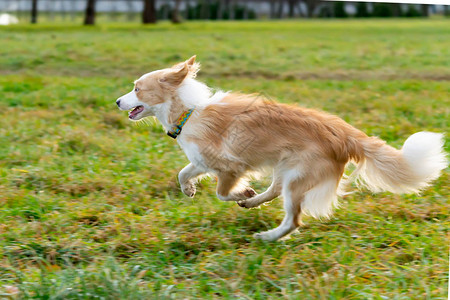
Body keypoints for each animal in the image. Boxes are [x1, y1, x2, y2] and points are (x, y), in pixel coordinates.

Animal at [118, 55, 448, 240]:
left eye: (137, 88)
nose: (118, 101)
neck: (189, 111)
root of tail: (345, 135)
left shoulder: (229, 166)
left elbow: (221, 192)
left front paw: (239, 193)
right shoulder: (202, 161)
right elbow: (183, 173)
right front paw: (190, 190)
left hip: (298, 176)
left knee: (292, 219)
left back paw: (267, 235)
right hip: (286, 167)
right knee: (275, 191)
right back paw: (253, 203)